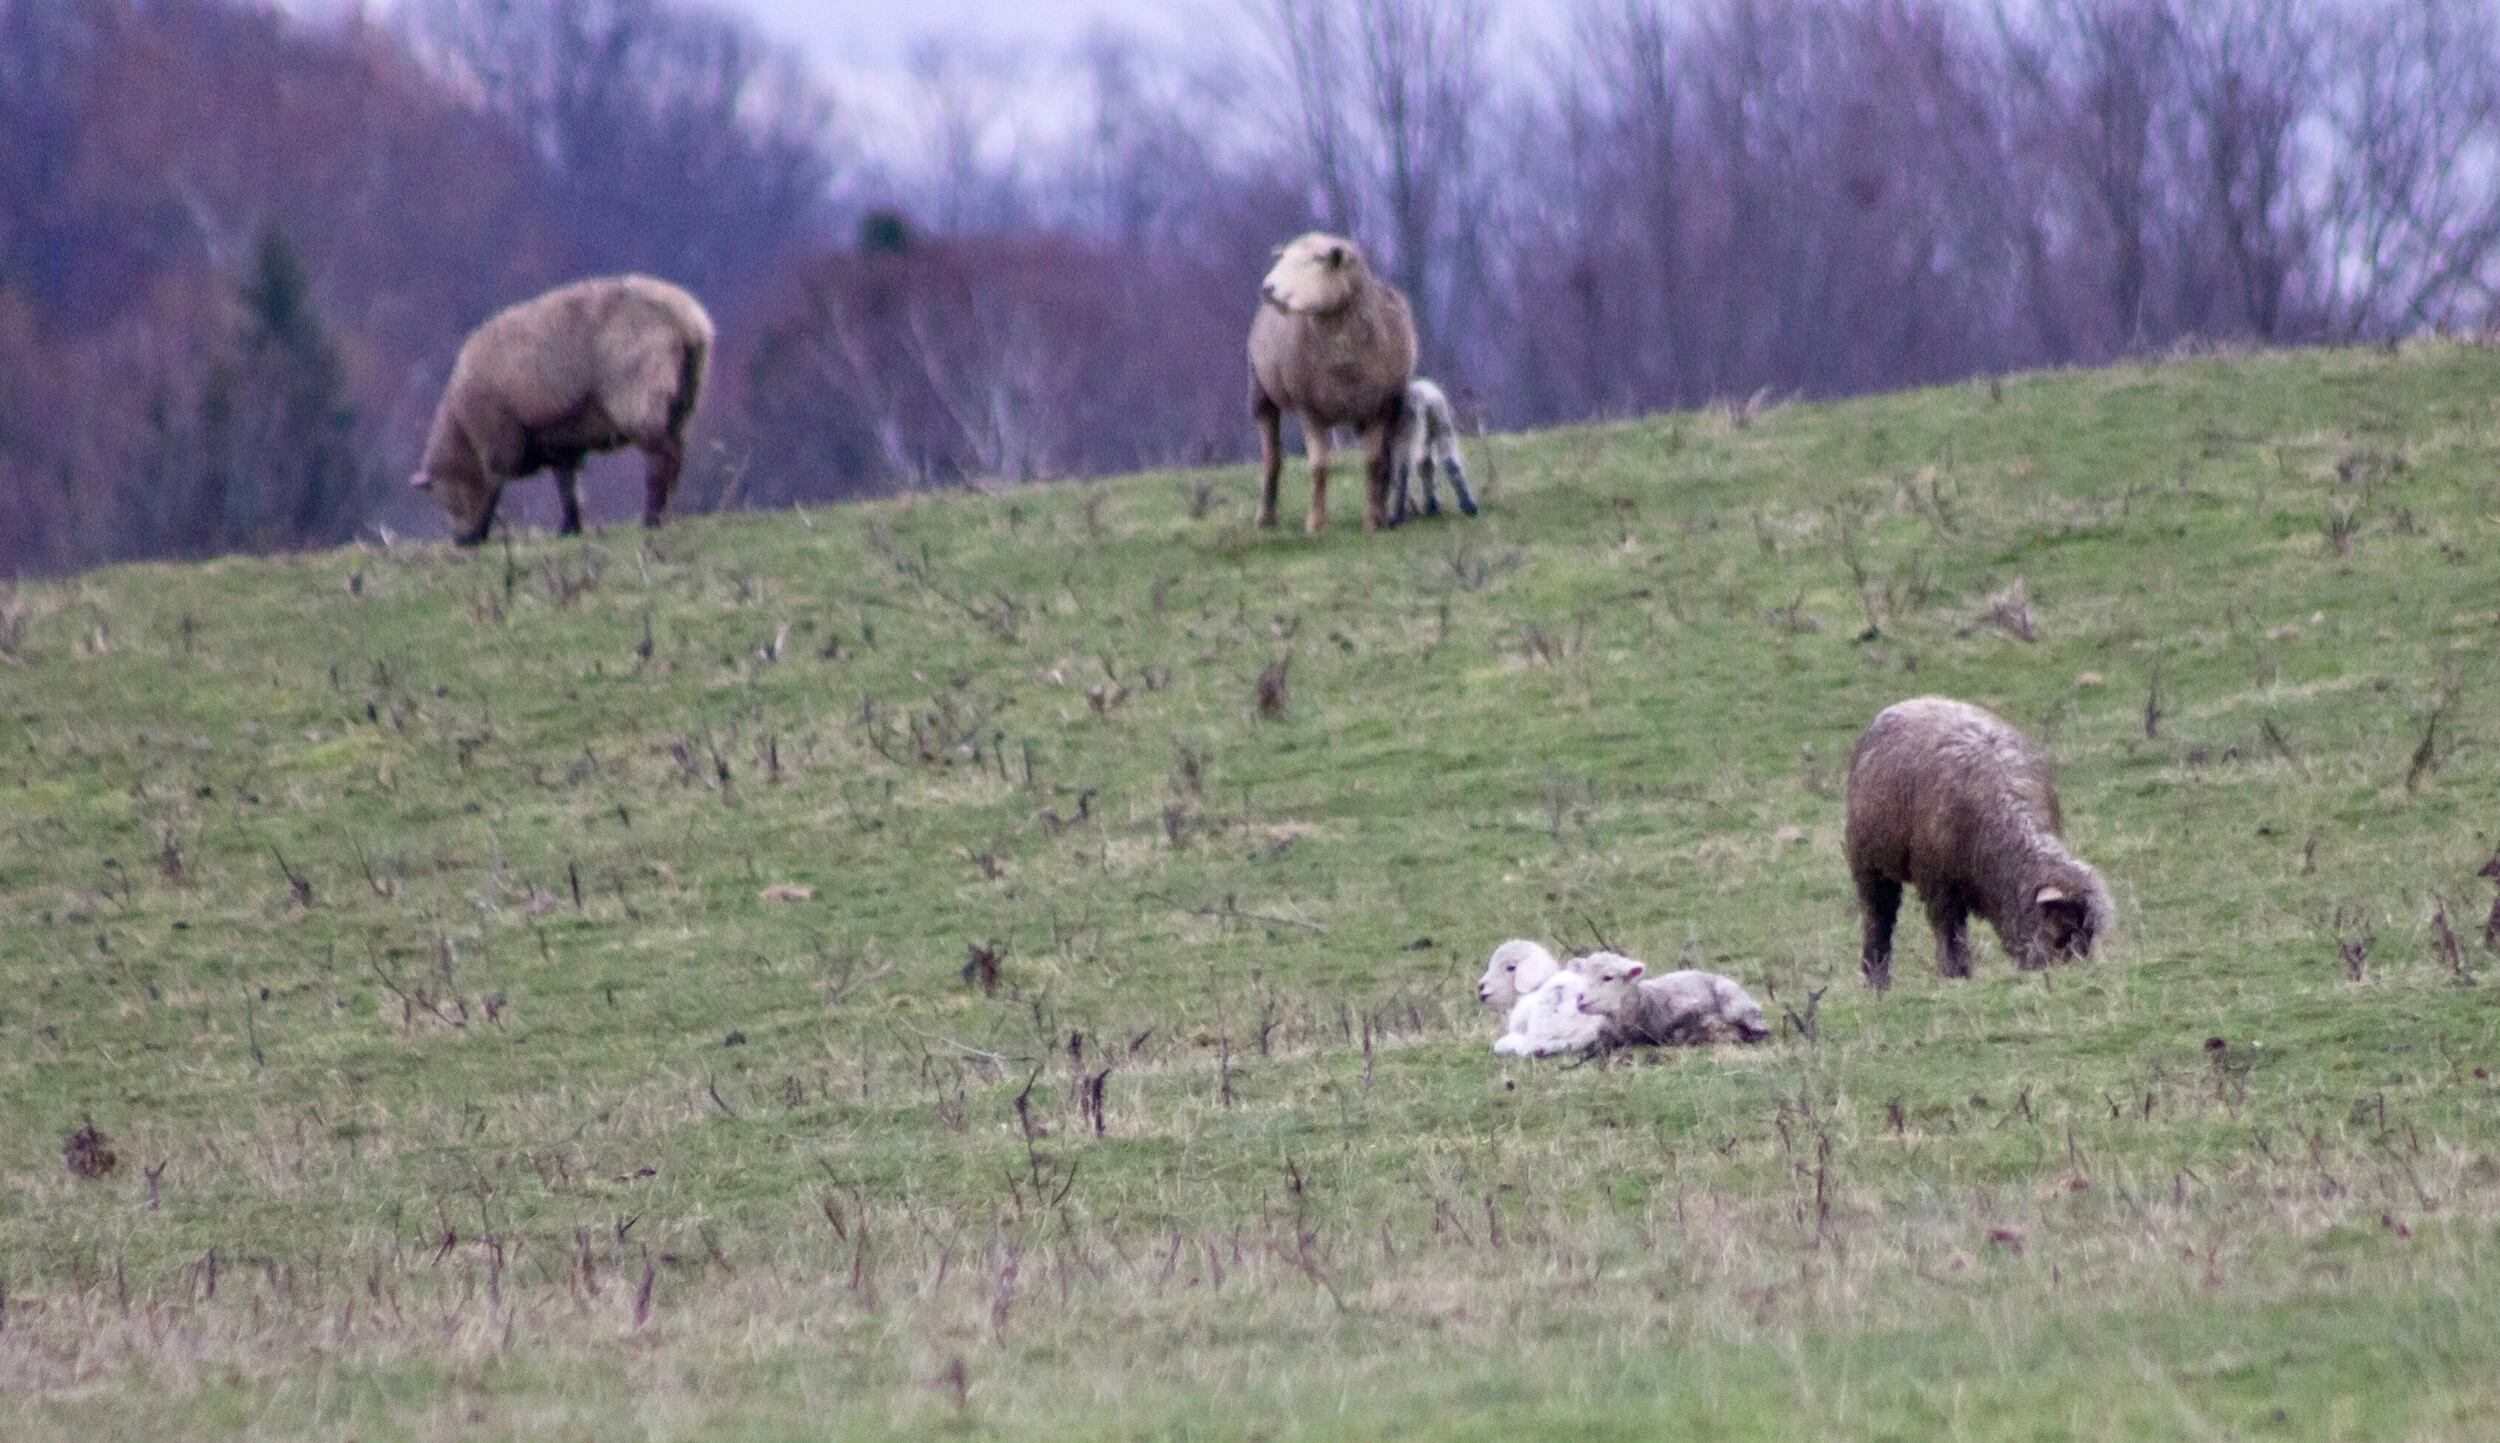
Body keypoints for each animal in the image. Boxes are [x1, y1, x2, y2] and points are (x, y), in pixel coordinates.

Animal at [410, 274, 713, 545]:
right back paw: (663, 513)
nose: (460, 540)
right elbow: (567, 486)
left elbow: (494, 488)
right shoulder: (562, 442)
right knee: (675, 454)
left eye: (446, 501)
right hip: (684, 396)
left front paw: (479, 533)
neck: (461, 427)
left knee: (659, 458)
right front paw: (570, 528)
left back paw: (651, 517)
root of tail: (688, 321)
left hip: (641, 394)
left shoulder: (497, 441)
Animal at [1248, 233, 1419, 534]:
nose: (1268, 288)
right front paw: (1316, 523)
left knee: (1388, 458)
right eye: (1283, 258)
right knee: (1272, 457)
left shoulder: (1379, 407)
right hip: (1261, 391)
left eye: (1315, 260)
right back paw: (1265, 517)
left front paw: (1373, 521)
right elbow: (1318, 466)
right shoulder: (1310, 409)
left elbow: (1374, 462)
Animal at [1387, 377, 1477, 524]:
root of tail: (1427, 397)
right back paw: (1468, 505)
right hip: (1442, 425)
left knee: (1404, 470)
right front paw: (1432, 505)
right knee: (1451, 464)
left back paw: (1397, 515)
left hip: (1410, 432)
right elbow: (1427, 466)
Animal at [1844, 696, 2115, 990]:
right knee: (1878, 917)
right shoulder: (1939, 883)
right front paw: (1955, 972)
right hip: (1870, 862)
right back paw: (1876, 978)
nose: (2069, 974)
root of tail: (1912, 701)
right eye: (2059, 933)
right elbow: (1949, 930)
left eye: (2087, 937)